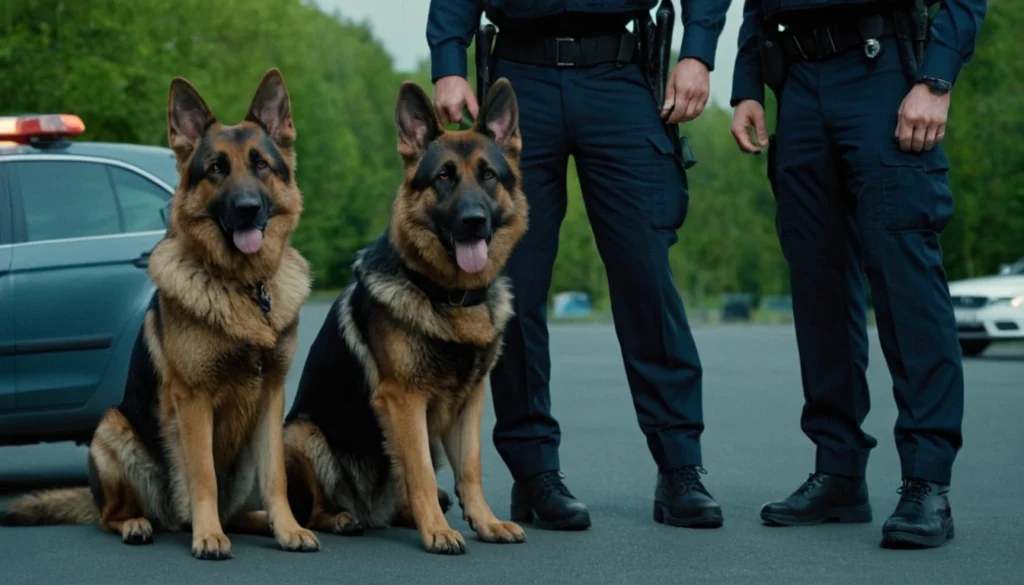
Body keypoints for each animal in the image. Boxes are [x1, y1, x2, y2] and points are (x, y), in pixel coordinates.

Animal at [0, 71, 319, 561]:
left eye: (261, 165)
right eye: (216, 168)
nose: (247, 208)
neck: (244, 288)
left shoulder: (271, 398)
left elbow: (276, 478)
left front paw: (287, 528)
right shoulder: (194, 401)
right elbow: (202, 475)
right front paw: (208, 537)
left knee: (236, 508)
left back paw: (255, 521)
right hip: (112, 431)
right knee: (111, 516)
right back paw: (141, 524)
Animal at [284, 79, 532, 557]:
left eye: (489, 176)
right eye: (444, 177)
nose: (474, 222)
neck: (450, 297)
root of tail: (369, 510)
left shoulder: (470, 401)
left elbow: (470, 467)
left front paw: (486, 522)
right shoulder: (404, 400)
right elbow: (418, 471)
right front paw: (437, 531)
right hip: (301, 434)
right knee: (318, 508)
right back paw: (342, 518)